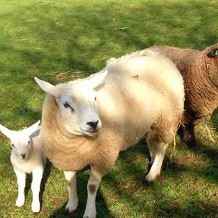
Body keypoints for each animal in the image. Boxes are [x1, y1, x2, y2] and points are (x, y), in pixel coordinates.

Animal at [35, 49, 185, 218]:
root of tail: (157, 55)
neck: (75, 144)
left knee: (162, 145)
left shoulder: (102, 157)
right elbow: (69, 181)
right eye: (66, 105)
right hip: (151, 120)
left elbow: (92, 186)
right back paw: (152, 160)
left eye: (95, 98)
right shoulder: (67, 158)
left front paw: (89, 212)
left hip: (167, 117)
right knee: (152, 141)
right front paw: (71, 204)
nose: (94, 123)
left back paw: (152, 173)